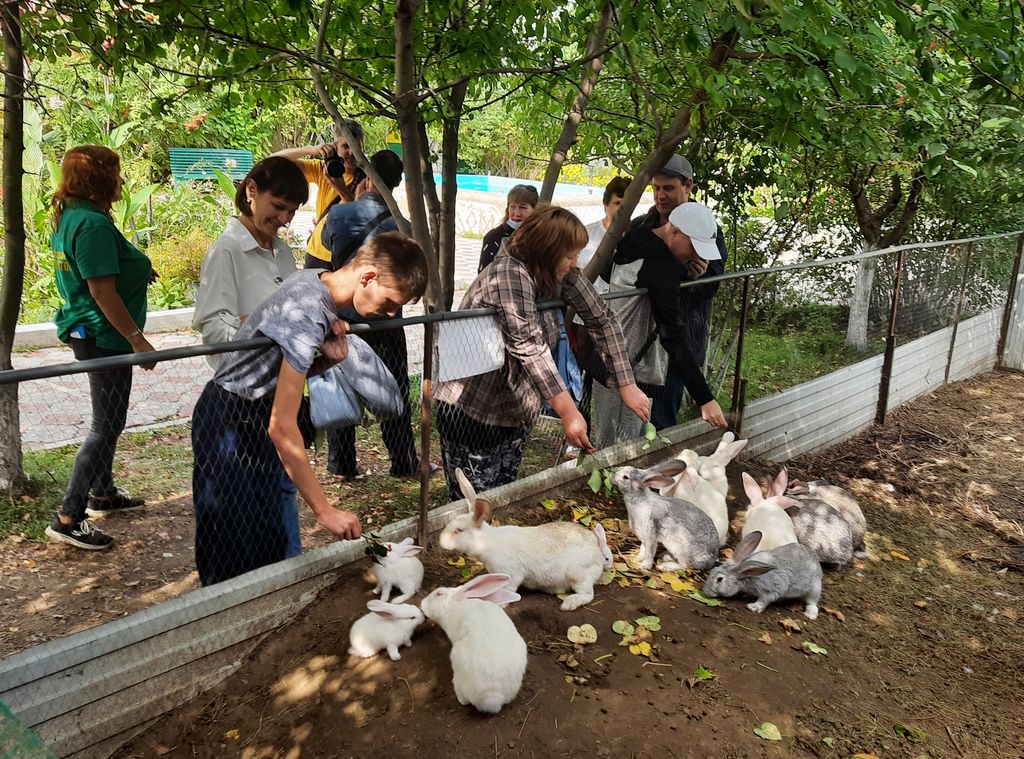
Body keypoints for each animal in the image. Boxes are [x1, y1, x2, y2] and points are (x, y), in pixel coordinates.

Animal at [419, 569, 528, 712]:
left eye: (439, 593)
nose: (422, 604)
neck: (453, 605)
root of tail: (491, 698)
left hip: (456, 659)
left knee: (463, 699)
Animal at [438, 465, 610, 614]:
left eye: (459, 530)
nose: (441, 541)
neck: (486, 542)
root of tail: (598, 554)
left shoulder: (511, 575)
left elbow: (508, 589)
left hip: (578, 574)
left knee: (588, 595)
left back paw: (568, 604)